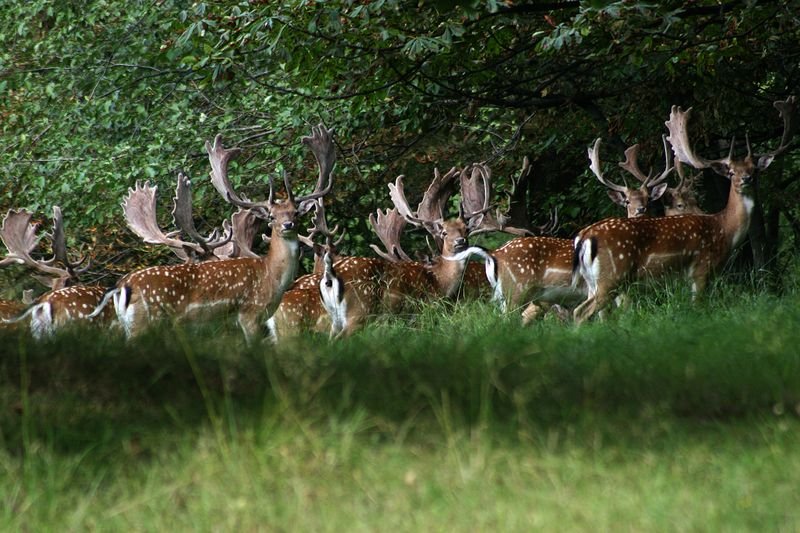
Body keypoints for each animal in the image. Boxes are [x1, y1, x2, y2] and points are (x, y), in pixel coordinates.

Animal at [105, 123, 334, 340]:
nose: (288, 225)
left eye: (295, 213)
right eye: (271, 217)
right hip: (144, 322)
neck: (271, 279)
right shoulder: (249, 314)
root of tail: (123, 286)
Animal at [576, 95, 792, 324]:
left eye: (754, 169)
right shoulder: (701, 268)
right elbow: (698, 307)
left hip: (594, 283)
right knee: (581, 311)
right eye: (731, 172)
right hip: (613, 276)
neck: (724, 229)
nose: (746, 179)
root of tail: (584, 237)